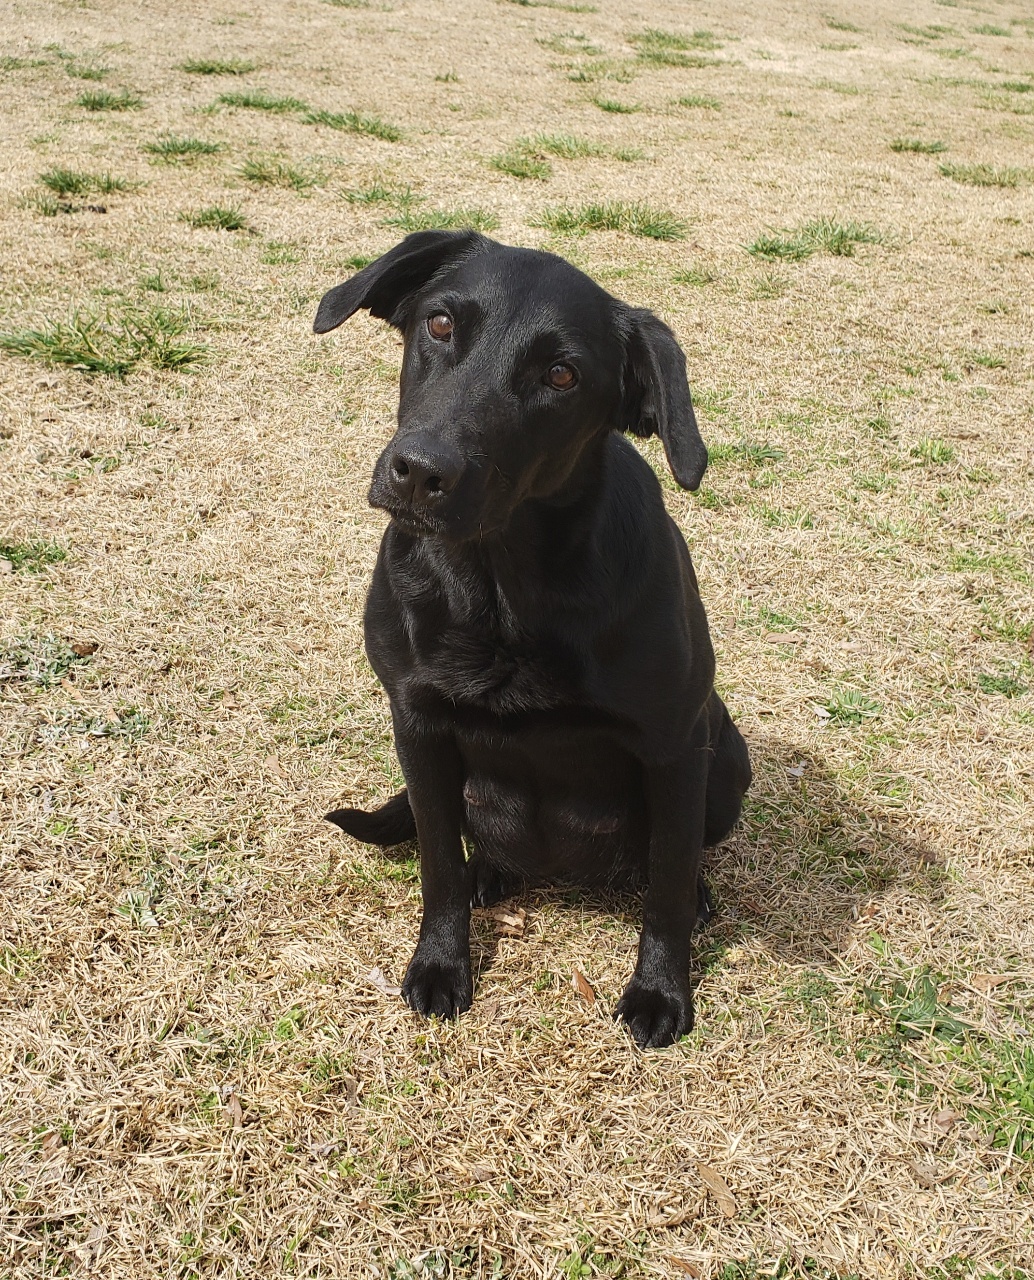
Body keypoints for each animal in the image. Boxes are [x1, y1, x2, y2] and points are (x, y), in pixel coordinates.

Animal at [314, 232, 752, 1049]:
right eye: (441, 324)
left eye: (561, 374)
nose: (420, 471)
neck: (503, 588)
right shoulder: (416, 724)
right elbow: (438, 866)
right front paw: (441, 964)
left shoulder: (677, 745)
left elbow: (668, 887)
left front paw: (660, 991)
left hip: (727, 762)